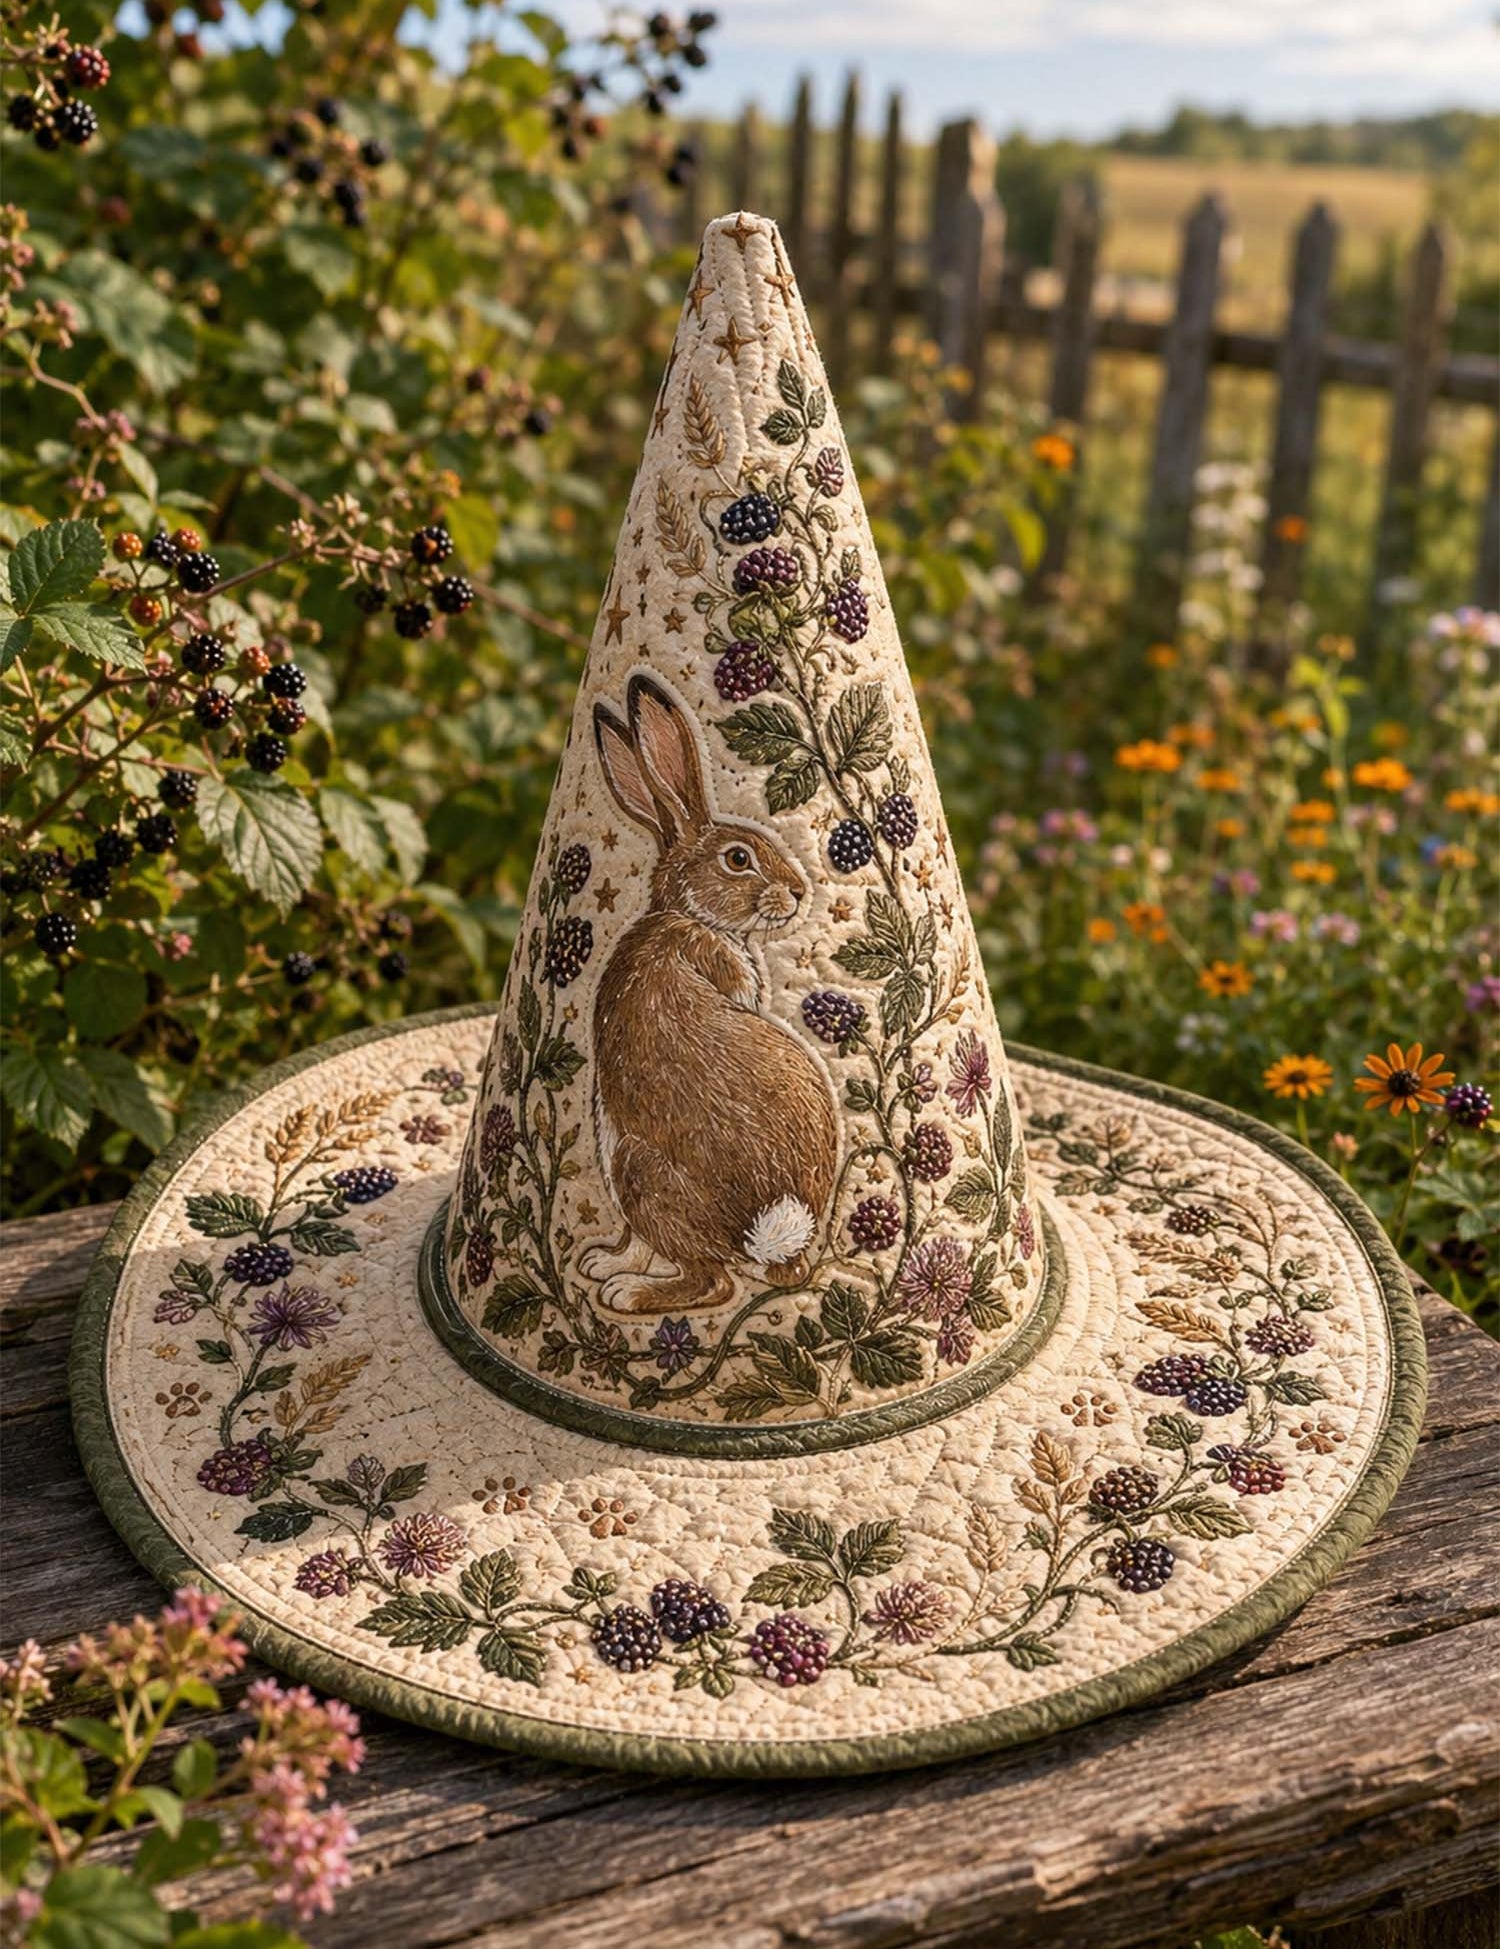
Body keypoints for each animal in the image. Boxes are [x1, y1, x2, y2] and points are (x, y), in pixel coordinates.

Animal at [580, 673, 839, 1315]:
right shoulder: (718, 962)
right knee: (711, 1279)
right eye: (739, 858)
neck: (689, 915)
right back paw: (624, 1286)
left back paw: (614, 1277)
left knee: (702, 1271)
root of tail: (770, 1233)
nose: (798, 893)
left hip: (624, 1163)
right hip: (635, 1170)